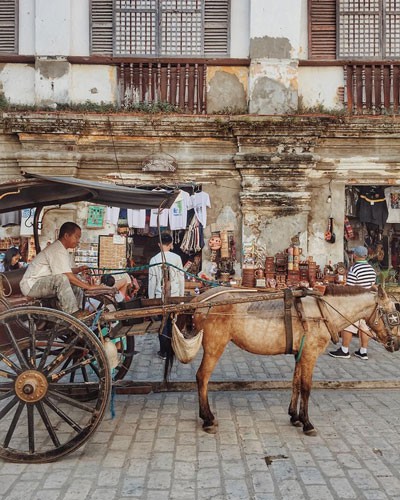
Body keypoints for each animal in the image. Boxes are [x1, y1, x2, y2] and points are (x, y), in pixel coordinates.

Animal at [166, 286, 400, 438]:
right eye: (392, 316)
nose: (395, 344)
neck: (323, 313)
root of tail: (200, 301)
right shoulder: (310, 354)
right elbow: (306, 387)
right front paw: (307, 423)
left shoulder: (300, 353)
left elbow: (295, 382)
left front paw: (294, 416)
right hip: (215, 346)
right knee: (202, 377)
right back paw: (207, 418)